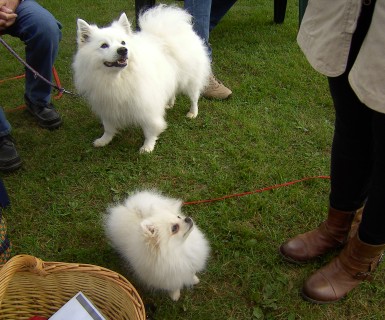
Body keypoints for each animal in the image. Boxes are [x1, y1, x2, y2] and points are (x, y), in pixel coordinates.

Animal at [72, 5, 210, 152]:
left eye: (123, 42)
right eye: (104, 45)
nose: (123, 50)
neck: (117, 78)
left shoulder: (146, 106)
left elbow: (150, 129)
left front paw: (147, 147)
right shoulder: (107, 105)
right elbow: (108, 127)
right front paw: (104, 140)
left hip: (190, 81)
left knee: (194, 98)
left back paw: (192, 113)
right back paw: (169, 103)